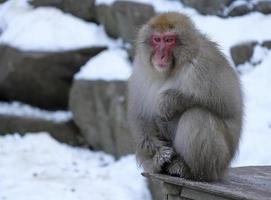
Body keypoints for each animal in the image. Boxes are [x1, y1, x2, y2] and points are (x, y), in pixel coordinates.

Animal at [128, 12, 244, 181]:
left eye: (169, 40)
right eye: (157, 40)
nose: (160, 55)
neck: (171, 69)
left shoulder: (204, 63)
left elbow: (228, 104)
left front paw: (167, 101)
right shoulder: (140, 70)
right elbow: (141, 116)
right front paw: (160, 155)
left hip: (219, 162)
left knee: (197, 115)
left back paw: (190, 170)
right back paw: (161, 164)